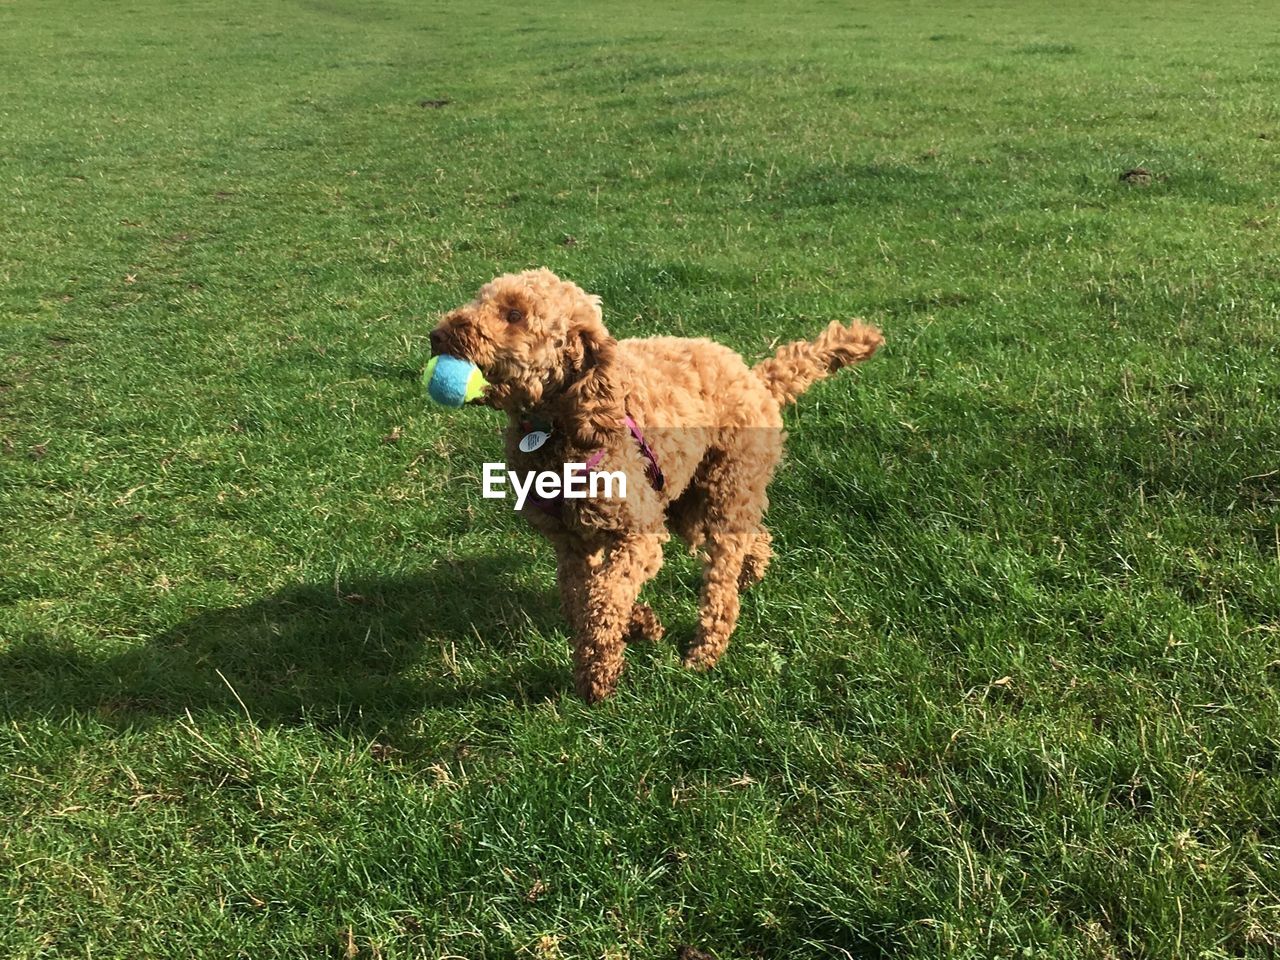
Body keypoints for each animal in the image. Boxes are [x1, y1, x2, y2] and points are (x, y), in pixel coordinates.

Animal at [430, 267, 880, 701]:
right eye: (480, 299)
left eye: (514, 314)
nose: (437, 335)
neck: (559, 425)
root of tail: (753, 377)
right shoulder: (571, 542)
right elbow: (581, 597)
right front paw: (641, 624)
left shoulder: (637, 531)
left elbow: (605, 595)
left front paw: (598, 675)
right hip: (689, 500)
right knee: (752, 536)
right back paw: (752, 571)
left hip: (725, 487)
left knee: (721, 583)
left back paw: (705, 650)